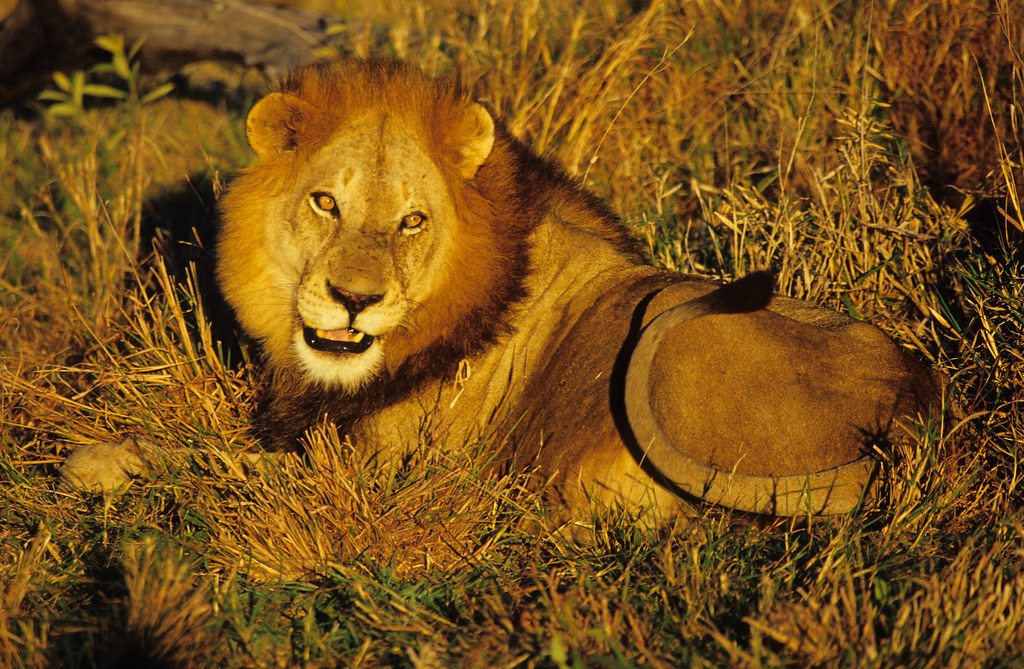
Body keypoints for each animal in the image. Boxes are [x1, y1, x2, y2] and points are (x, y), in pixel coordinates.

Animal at [212, 58, 943, 523]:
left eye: (412, 220)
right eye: (325, 203)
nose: (354, 299)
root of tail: (911, 409)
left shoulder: (387, 466)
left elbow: (241, 466)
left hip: (675, 329)